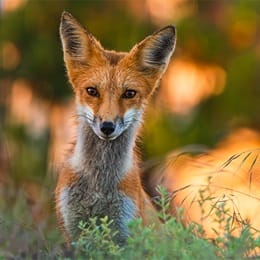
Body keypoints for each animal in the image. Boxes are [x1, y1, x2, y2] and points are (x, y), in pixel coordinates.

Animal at [55, 11, 177, 244]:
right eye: (92, 91)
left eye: (129, 93)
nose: (107, 126)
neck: (99, 185)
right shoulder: (72, 232)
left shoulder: (125, 231)